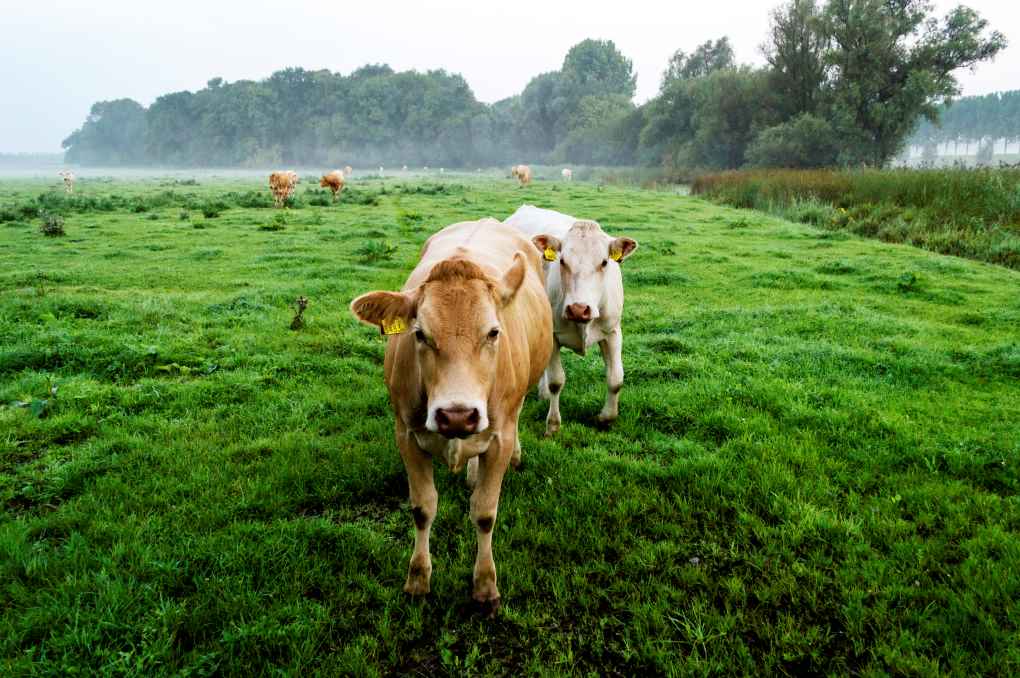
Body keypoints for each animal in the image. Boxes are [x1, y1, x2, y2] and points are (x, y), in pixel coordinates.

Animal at [350, 219, 553, 612]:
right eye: (420, 334)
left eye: (493, 332)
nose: (457, 416)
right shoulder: (406, 435)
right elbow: (422, 508)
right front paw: (417, 579)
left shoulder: (500, 437)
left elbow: (485, 513)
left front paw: (485, 585)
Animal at [504, 205, 638, 436]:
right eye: (562, 261)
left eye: (604, 262)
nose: (578, 309)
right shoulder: (553, 335)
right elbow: (556, 381)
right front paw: (553, 425)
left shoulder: (612, 332)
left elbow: (615, 379)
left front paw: (606, 418)